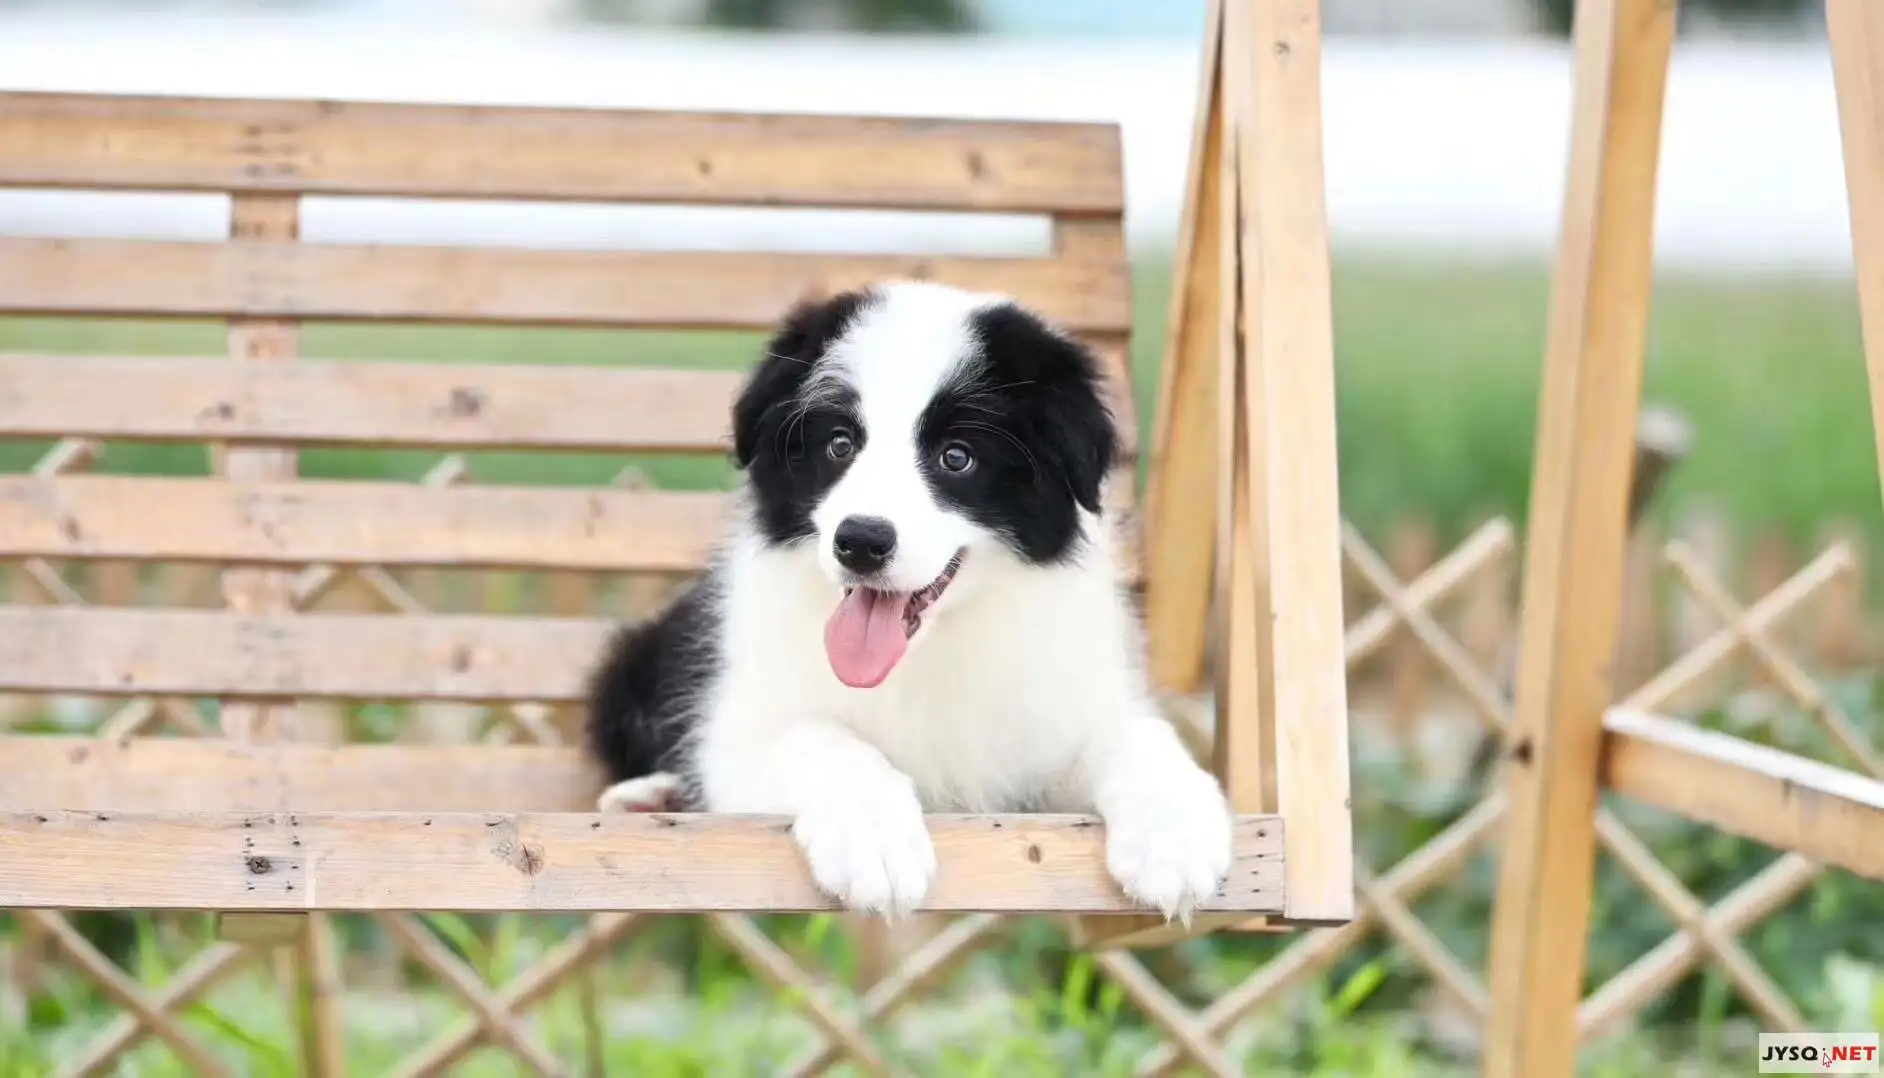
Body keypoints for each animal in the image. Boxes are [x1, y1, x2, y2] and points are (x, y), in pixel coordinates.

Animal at [587, 277, 1235, 919]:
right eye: (840, 445)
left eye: (957, 457)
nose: (860, 542)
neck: (927, 652)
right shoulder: (738, 726)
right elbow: (816, 737)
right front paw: (873, 844)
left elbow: (1138, 735)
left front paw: (1175, 838)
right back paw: (651, 797)